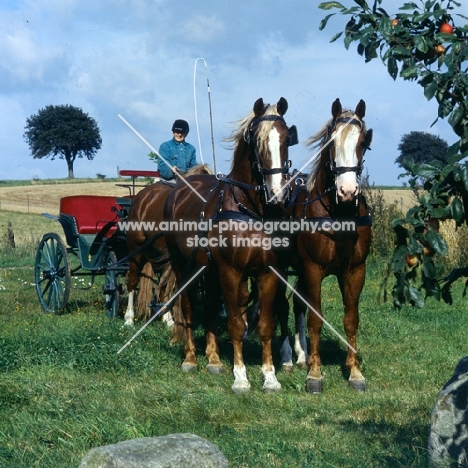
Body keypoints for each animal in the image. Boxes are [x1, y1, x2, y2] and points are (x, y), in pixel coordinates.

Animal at [165, 97, 296, 394]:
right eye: (257, 141)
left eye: (286, 138)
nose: (277, 193)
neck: (251, 211)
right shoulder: (231, 272)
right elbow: (236, 324)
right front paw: (241, 377)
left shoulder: (268, 273)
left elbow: (265, 325)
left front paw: (270, 377)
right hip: (184, 267)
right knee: (187, 307)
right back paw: (191, 358)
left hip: (208, 269)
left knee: (212, 307)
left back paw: (213, 359)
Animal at [278, 98, 372, 392]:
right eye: (332, 142)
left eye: (363, 142)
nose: (348, 191)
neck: (339, 214)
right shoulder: (312, 268)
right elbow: (315, 318)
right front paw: (315, 374)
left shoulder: (355, 270)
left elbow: (351, 319)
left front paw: (355, 372)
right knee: (281, 306)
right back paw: (287, 358)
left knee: (297, 303)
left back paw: (301, 355)